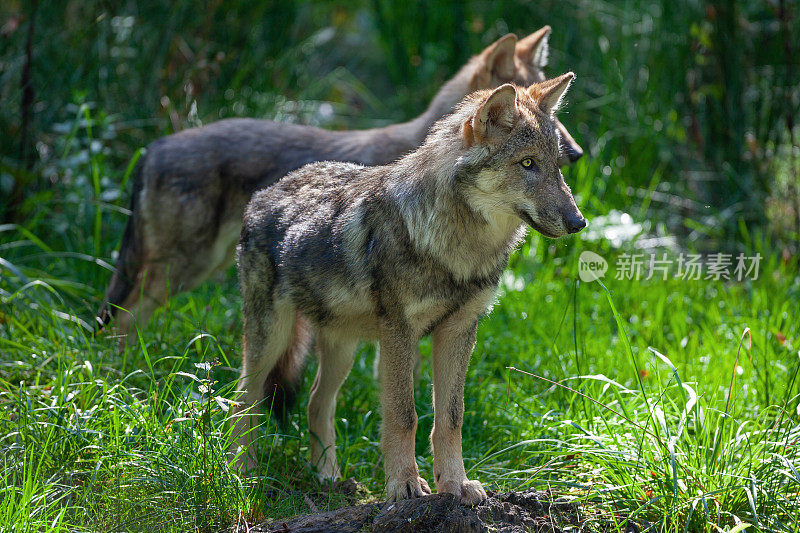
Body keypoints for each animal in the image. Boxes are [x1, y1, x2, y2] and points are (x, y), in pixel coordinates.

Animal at [97, 26, 580, 340]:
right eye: (531, 160)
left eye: (555, 124)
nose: (575, 153)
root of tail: (154, 146)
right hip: (183, 271)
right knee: (121, 322)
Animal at [234, 71, 584, 502]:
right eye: (527, 164)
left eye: (556, 166)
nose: (578, 222)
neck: (460, 250)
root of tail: (267, 192)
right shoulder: (399, 333)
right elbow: (404, 416)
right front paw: (403, 484)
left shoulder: (459, 331)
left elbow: (450, 418)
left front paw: (454, 484)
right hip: (272, 338)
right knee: (243, 399)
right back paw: (242, 472)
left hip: (343, 349)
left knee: (316, 403)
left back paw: (328, 477)